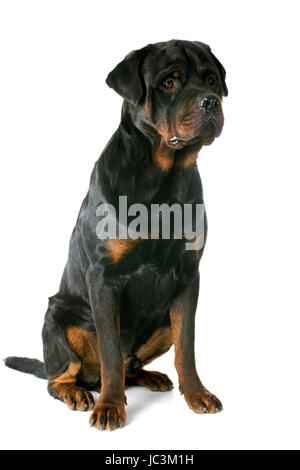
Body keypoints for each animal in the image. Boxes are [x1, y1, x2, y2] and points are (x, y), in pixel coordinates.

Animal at [5, 39, 227, 430]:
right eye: (169, 83)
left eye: (211, 79)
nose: (211, 101)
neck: (163, 176)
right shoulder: (103, 279)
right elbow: (110, 352)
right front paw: (109, 406)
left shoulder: (188, 276)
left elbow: (186, 346)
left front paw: (196, 394)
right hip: (57, 317)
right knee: (63, 376)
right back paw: (79, 393)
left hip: (161, 324)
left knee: (132, 365)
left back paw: (150, 376)